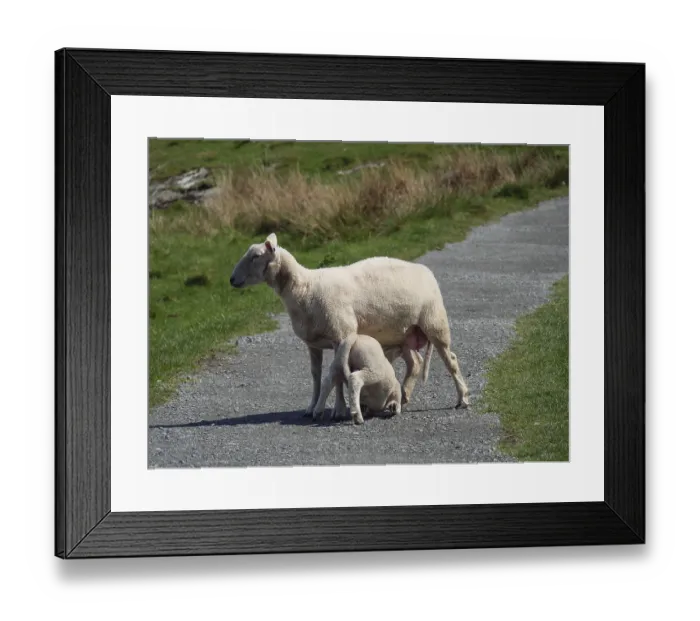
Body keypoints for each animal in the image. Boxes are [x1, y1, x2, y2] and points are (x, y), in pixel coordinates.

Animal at [229, 232, 471, 417]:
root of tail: (424, 270)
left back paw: (463, 398)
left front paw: (339, 410)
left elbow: (337, 373)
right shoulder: (313, 343)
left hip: (435, 322)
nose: (231, 280)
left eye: (256, 256)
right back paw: (402, 396)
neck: (305, 288)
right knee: (416, 363)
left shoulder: (341, 335)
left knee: (451, 360)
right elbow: (316, 375)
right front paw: (311, 407)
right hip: (404, 333)